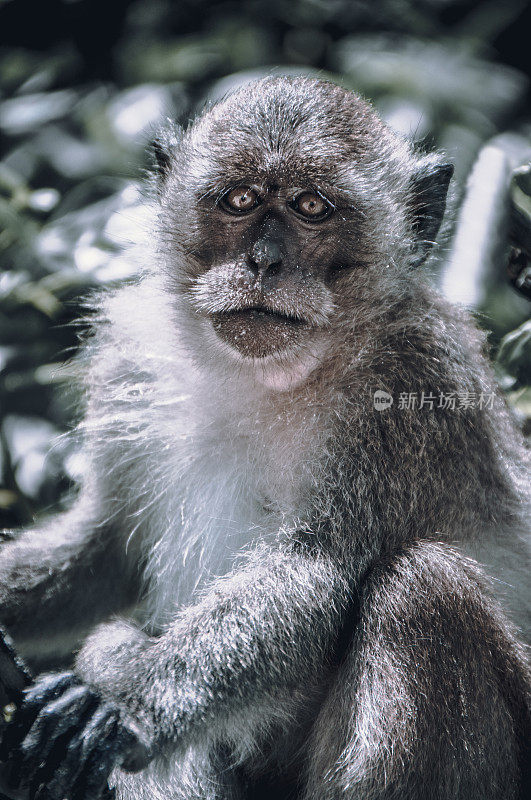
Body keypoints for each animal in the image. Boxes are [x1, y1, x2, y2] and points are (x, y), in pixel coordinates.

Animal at [0, 76, 528, 800]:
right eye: (240, 200)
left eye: (311, 207)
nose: (263, 260)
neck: (267, 375)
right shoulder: (132, 357)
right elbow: (104, 551)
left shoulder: (413, 379)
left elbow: (313, 573)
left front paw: (127, 704)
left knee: (423, 587)